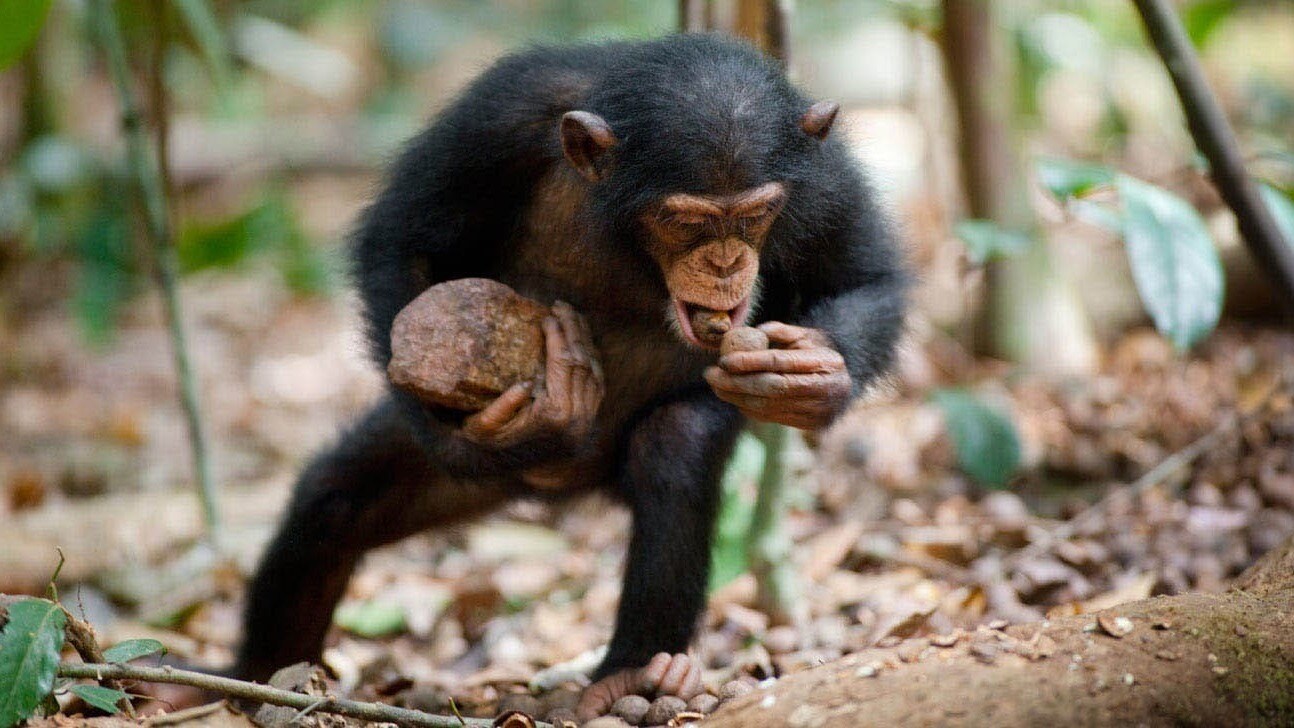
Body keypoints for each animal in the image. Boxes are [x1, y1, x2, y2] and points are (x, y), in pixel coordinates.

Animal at [235, 32, 900, 718]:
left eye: (756, 215)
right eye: (687, 222)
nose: (723, 264)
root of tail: (565, 487)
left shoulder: (825, 178)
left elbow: (865, 278)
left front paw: (814, 375)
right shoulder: (497, 116)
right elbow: (403, 241)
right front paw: (473, 434)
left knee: (676, 449)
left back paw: (631, 674)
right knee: (331, 505)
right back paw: (256, 686)